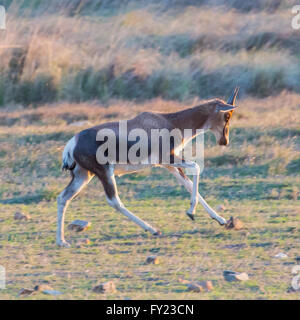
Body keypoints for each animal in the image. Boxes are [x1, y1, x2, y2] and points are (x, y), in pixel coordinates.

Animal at [56, 87, 239, 248]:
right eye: (227, 116)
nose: (224, 141)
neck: (170, 121)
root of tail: (72, 143)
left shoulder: (169, 165)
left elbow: (188, 184)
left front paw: (221, 220)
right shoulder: (169, 158)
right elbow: (196, 167)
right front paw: (191, 213)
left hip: (83, 175)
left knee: (63, 197)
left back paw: (62, 241)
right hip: (105, 172)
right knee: (114, 201)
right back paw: (152, 229)